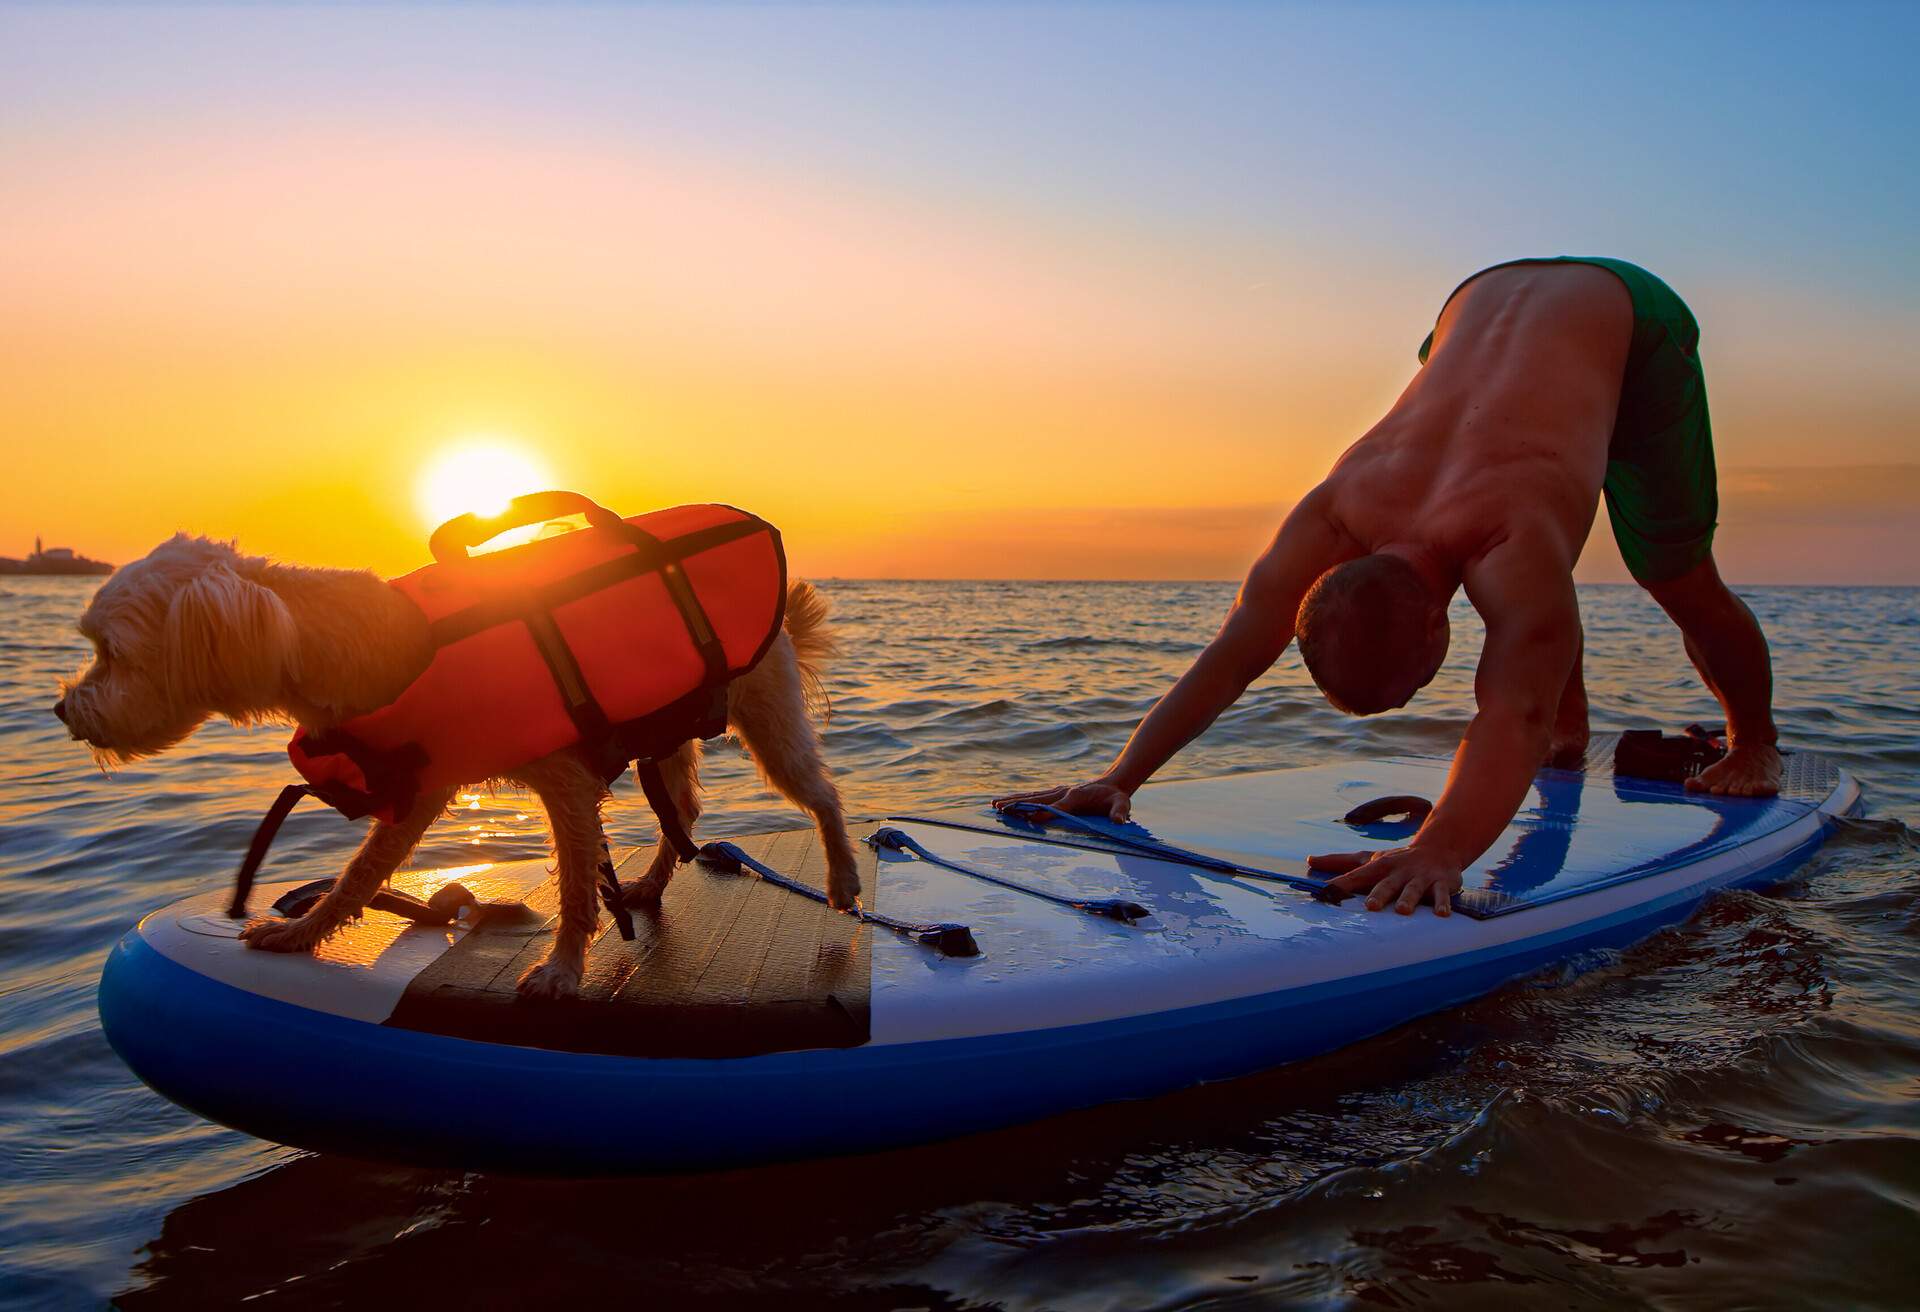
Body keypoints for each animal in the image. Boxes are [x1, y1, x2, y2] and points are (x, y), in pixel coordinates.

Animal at [60, 534, 860, 998]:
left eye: (112, 652)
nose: (65, 710)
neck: (369, 649)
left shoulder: (565, 782)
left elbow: (576, 883)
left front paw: (562, 969)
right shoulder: (417, 788)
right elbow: (360, 877)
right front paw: (299, 933)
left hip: (768, 721)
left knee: (822, 794)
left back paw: (844, 880)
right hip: (665, 736)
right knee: (683, 813)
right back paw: (649, 884)